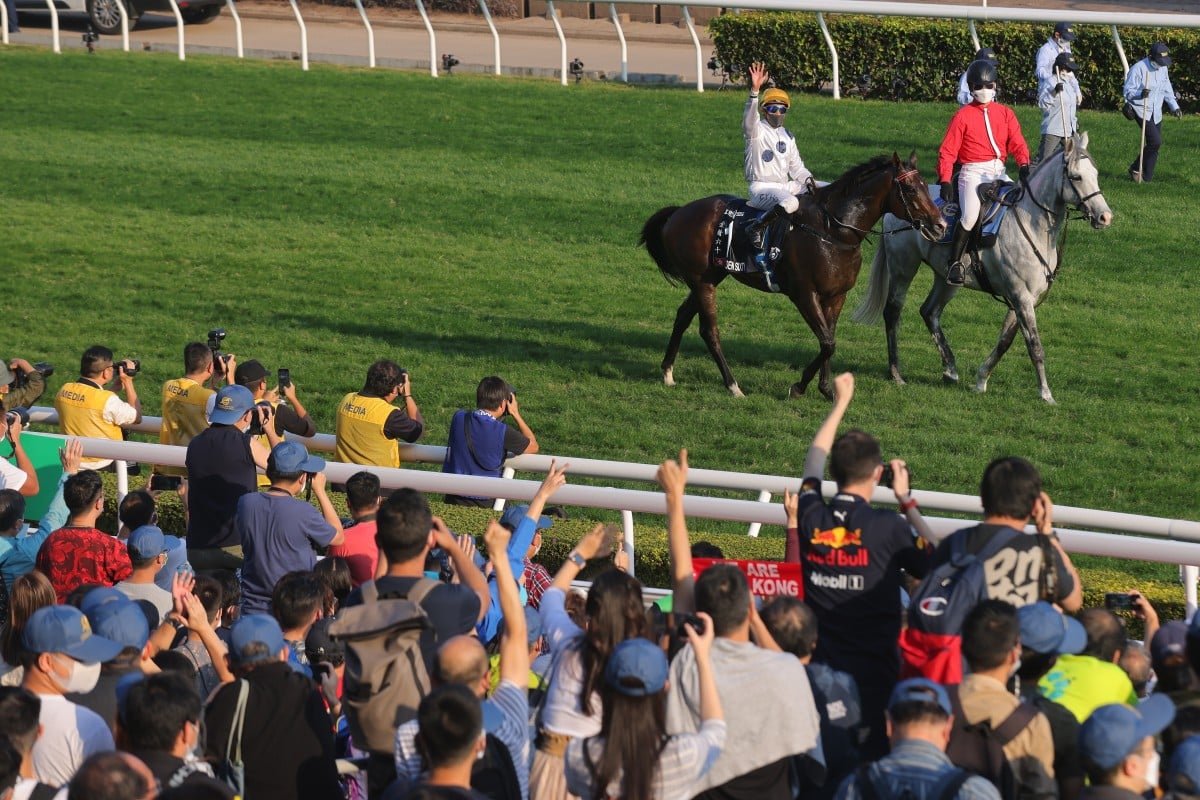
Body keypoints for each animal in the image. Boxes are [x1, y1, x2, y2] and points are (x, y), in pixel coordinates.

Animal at [638, 151, 945, 398]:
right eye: (910, 188)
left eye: (926, 186)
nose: (940, 225)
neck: (833, 232)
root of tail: (679, 212)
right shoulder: (804, 294)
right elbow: (827, 343)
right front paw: (799, 387)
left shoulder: (836, 296)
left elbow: (829, 340)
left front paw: (825, 390)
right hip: (703, 283)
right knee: (709, 330)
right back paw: (733, 386)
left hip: (709, 277)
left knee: (682, 316)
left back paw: (667, 372)